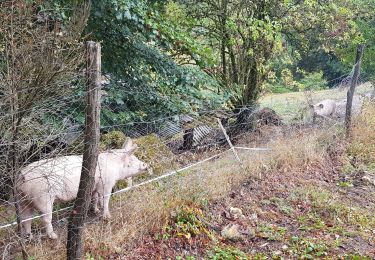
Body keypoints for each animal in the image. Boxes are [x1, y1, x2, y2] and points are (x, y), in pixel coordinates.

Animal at [16, 138, 150, 240]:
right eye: (133, 160)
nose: (147, 165)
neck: (115, 166)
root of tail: (23, 176)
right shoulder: (106, 183)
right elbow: (105, 198)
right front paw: (107, 216)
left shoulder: (95, 187)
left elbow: (95, 198)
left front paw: (96, 211)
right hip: (43, 198)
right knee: (45, 218)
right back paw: (53, 236)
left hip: (23, 199)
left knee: (25, 218)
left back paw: (29, 237)